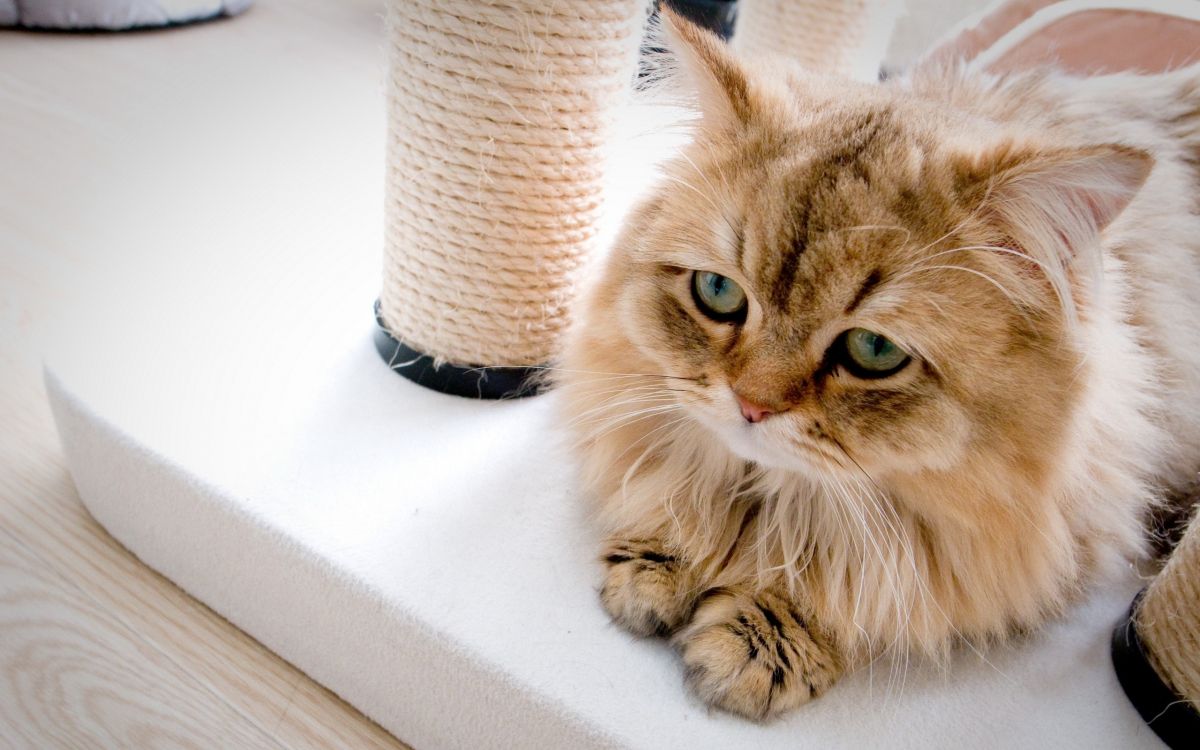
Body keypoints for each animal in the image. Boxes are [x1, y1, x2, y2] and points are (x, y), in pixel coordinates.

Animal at [556, 10, 1200, 720]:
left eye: (873, 352)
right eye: (718, 292)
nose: (750, 405)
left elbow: (867, 586)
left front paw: (766, 634)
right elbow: (682, 476)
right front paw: (668, 553)